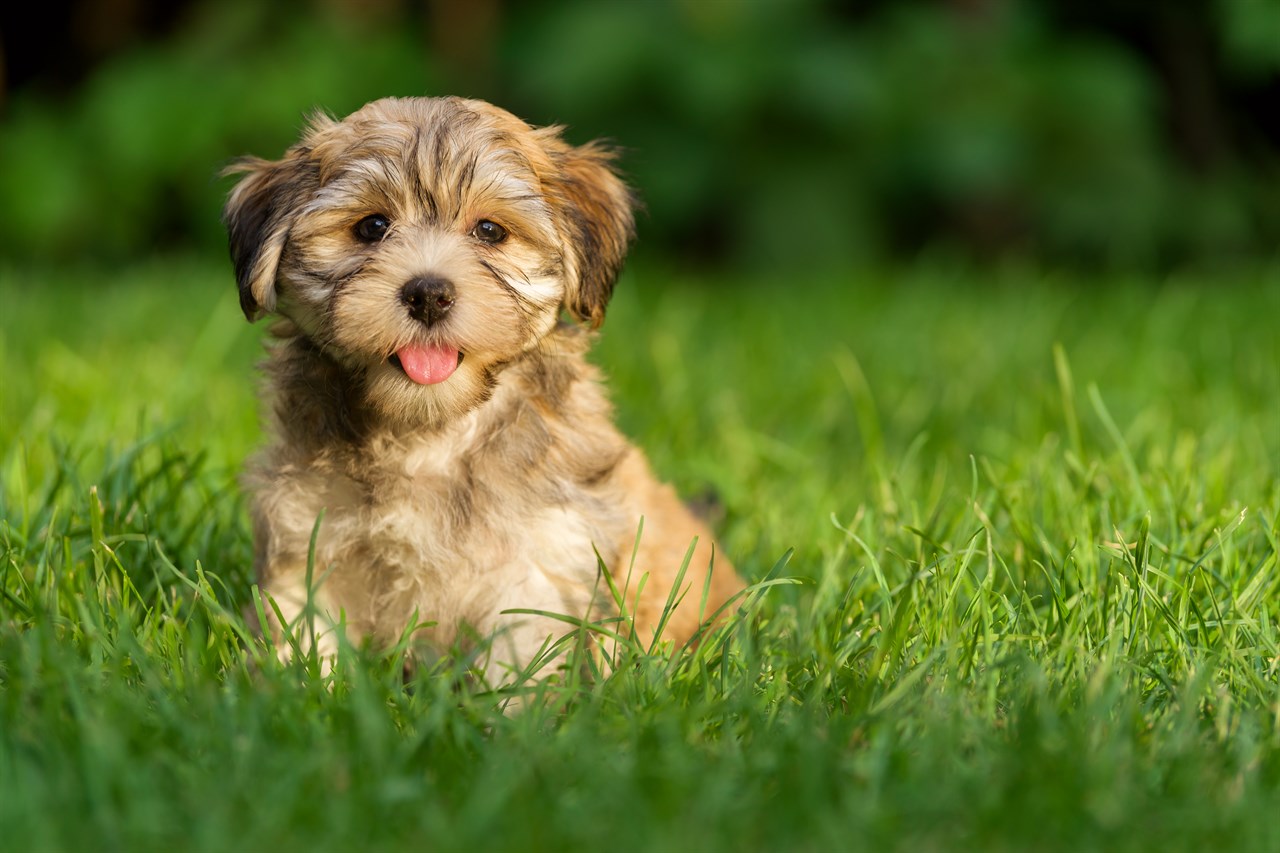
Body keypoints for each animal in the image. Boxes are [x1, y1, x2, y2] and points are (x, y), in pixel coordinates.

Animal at [221, 96, 742, 676]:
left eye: (490, 231)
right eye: (372, 226)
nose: (428, 293)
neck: (431, 431)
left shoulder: (537, 560)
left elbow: (520, 654)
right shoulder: (308, 536)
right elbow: (307, 634)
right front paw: (300, 687)